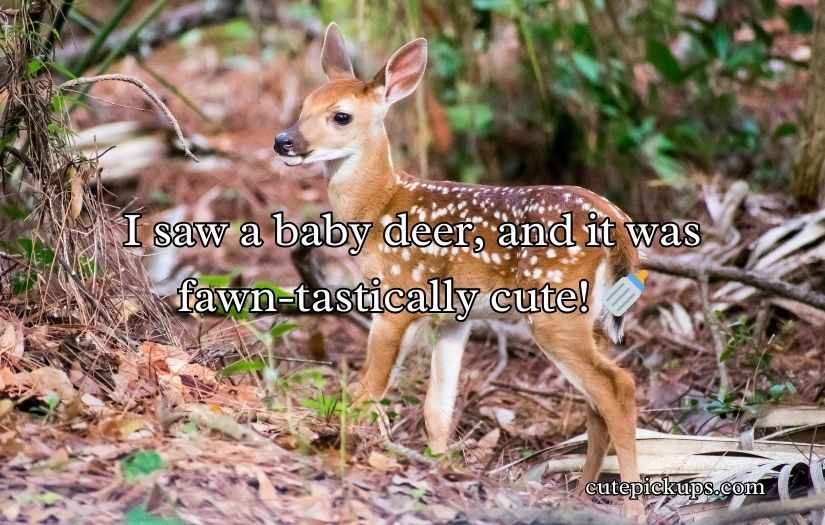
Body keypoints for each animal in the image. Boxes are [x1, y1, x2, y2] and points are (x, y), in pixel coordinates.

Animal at [275, 23, 644, 518]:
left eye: (341, 117)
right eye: (303, 107)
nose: (284, 141)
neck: (380, 206)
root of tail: (619, 223)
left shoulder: (398, 293)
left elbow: (370, 386)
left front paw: (341, 438)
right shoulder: (454, 317)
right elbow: (438, 408)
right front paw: (438, 465)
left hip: (554, 308)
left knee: (617, 386)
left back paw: (631, 507)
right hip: (594, 316)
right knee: (596, 401)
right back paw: (584, 493)